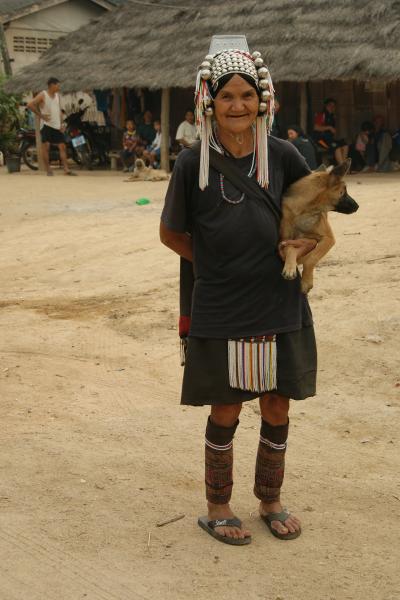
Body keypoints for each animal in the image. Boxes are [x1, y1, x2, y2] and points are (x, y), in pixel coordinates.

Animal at [280, 158, 358, 292]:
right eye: (343, 192)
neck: (305, 211)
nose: (357, 206)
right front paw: (290, 268)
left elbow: (311, 259)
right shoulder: (285, 240)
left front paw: (306, 281)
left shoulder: (328, 239)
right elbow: (290, 248)